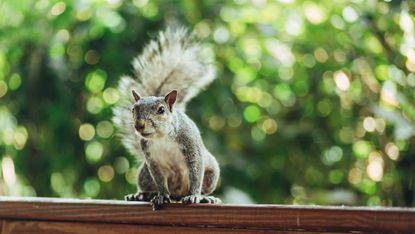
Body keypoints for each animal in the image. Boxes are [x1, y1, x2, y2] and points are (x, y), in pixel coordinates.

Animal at [110, 27, 221, 210]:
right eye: (133, 109)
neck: (162, 138)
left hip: (212, 172)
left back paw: (206, 198)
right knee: (150, 185)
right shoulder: (152, 160)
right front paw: (161, 196)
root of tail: (177, 194)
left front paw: (194, 195)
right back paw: (142, 195)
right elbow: (160, 180)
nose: (139, 125)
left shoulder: (191, 146)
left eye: (161, 110)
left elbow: (195, 172)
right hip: (144, 174)